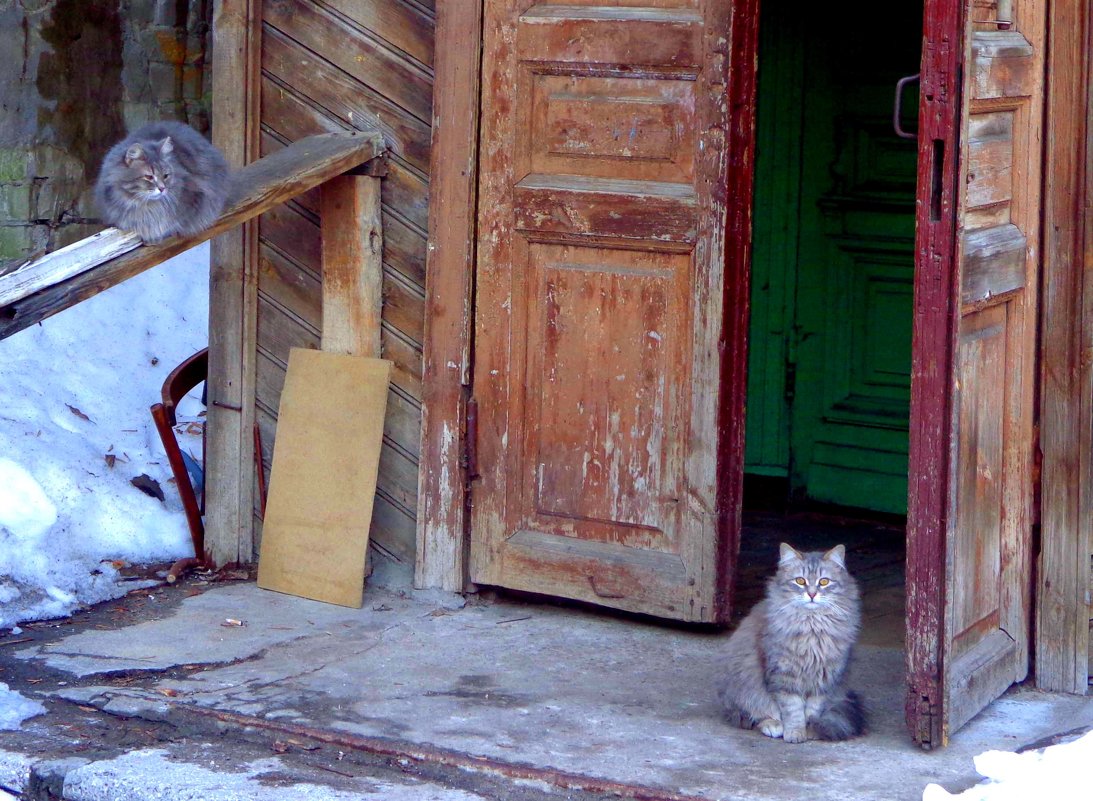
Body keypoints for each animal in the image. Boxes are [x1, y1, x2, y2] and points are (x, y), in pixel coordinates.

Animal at [721, 539, 865, 738]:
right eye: (800, 581)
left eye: (824, 582)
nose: (812, 594)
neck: (812, 628)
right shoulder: (783, 676)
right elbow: (793, 710)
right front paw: (795, 733)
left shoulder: (824, 679)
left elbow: (812, 710)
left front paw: (810, 731)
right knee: (753, 713)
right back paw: (773, 725)